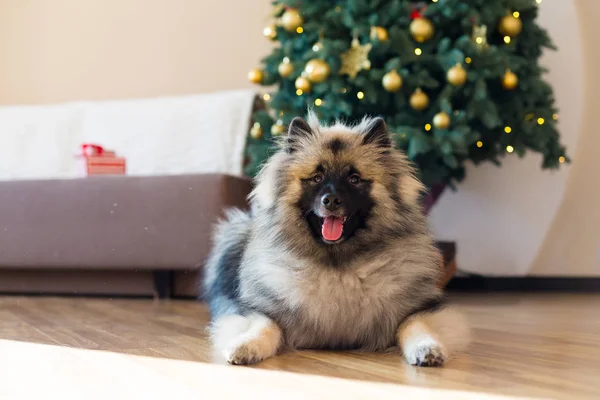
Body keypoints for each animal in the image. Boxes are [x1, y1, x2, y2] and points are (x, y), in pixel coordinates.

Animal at [204, 111, 472, 366]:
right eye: (316, 178)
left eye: (354, 179)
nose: (331, 200)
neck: (338, 267)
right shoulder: (260, 310)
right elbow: (264, 326)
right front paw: (244, 346)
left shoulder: (419, 309)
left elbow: (414, 325)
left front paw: (427, 348)